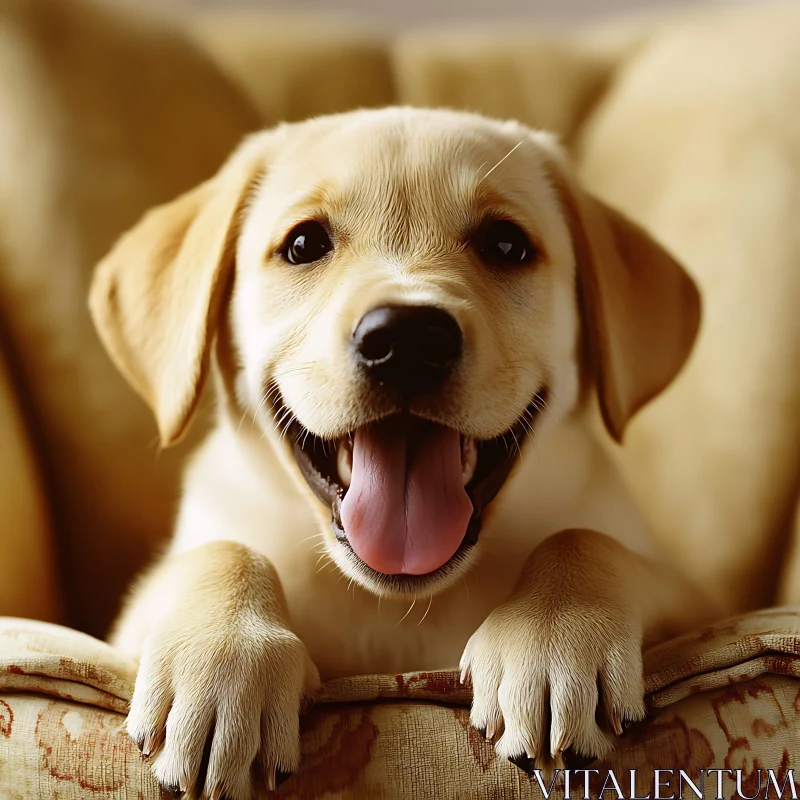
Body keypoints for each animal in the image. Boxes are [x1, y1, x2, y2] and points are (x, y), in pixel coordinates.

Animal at [90, 108, 716, 800]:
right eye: (303, 245)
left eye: (507, 245)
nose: (407, 340)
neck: (399, 607)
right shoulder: (126, 623)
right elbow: (220, 551)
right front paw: (219, 663)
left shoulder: (701, 601)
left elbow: (583, 539)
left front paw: (555, 642)